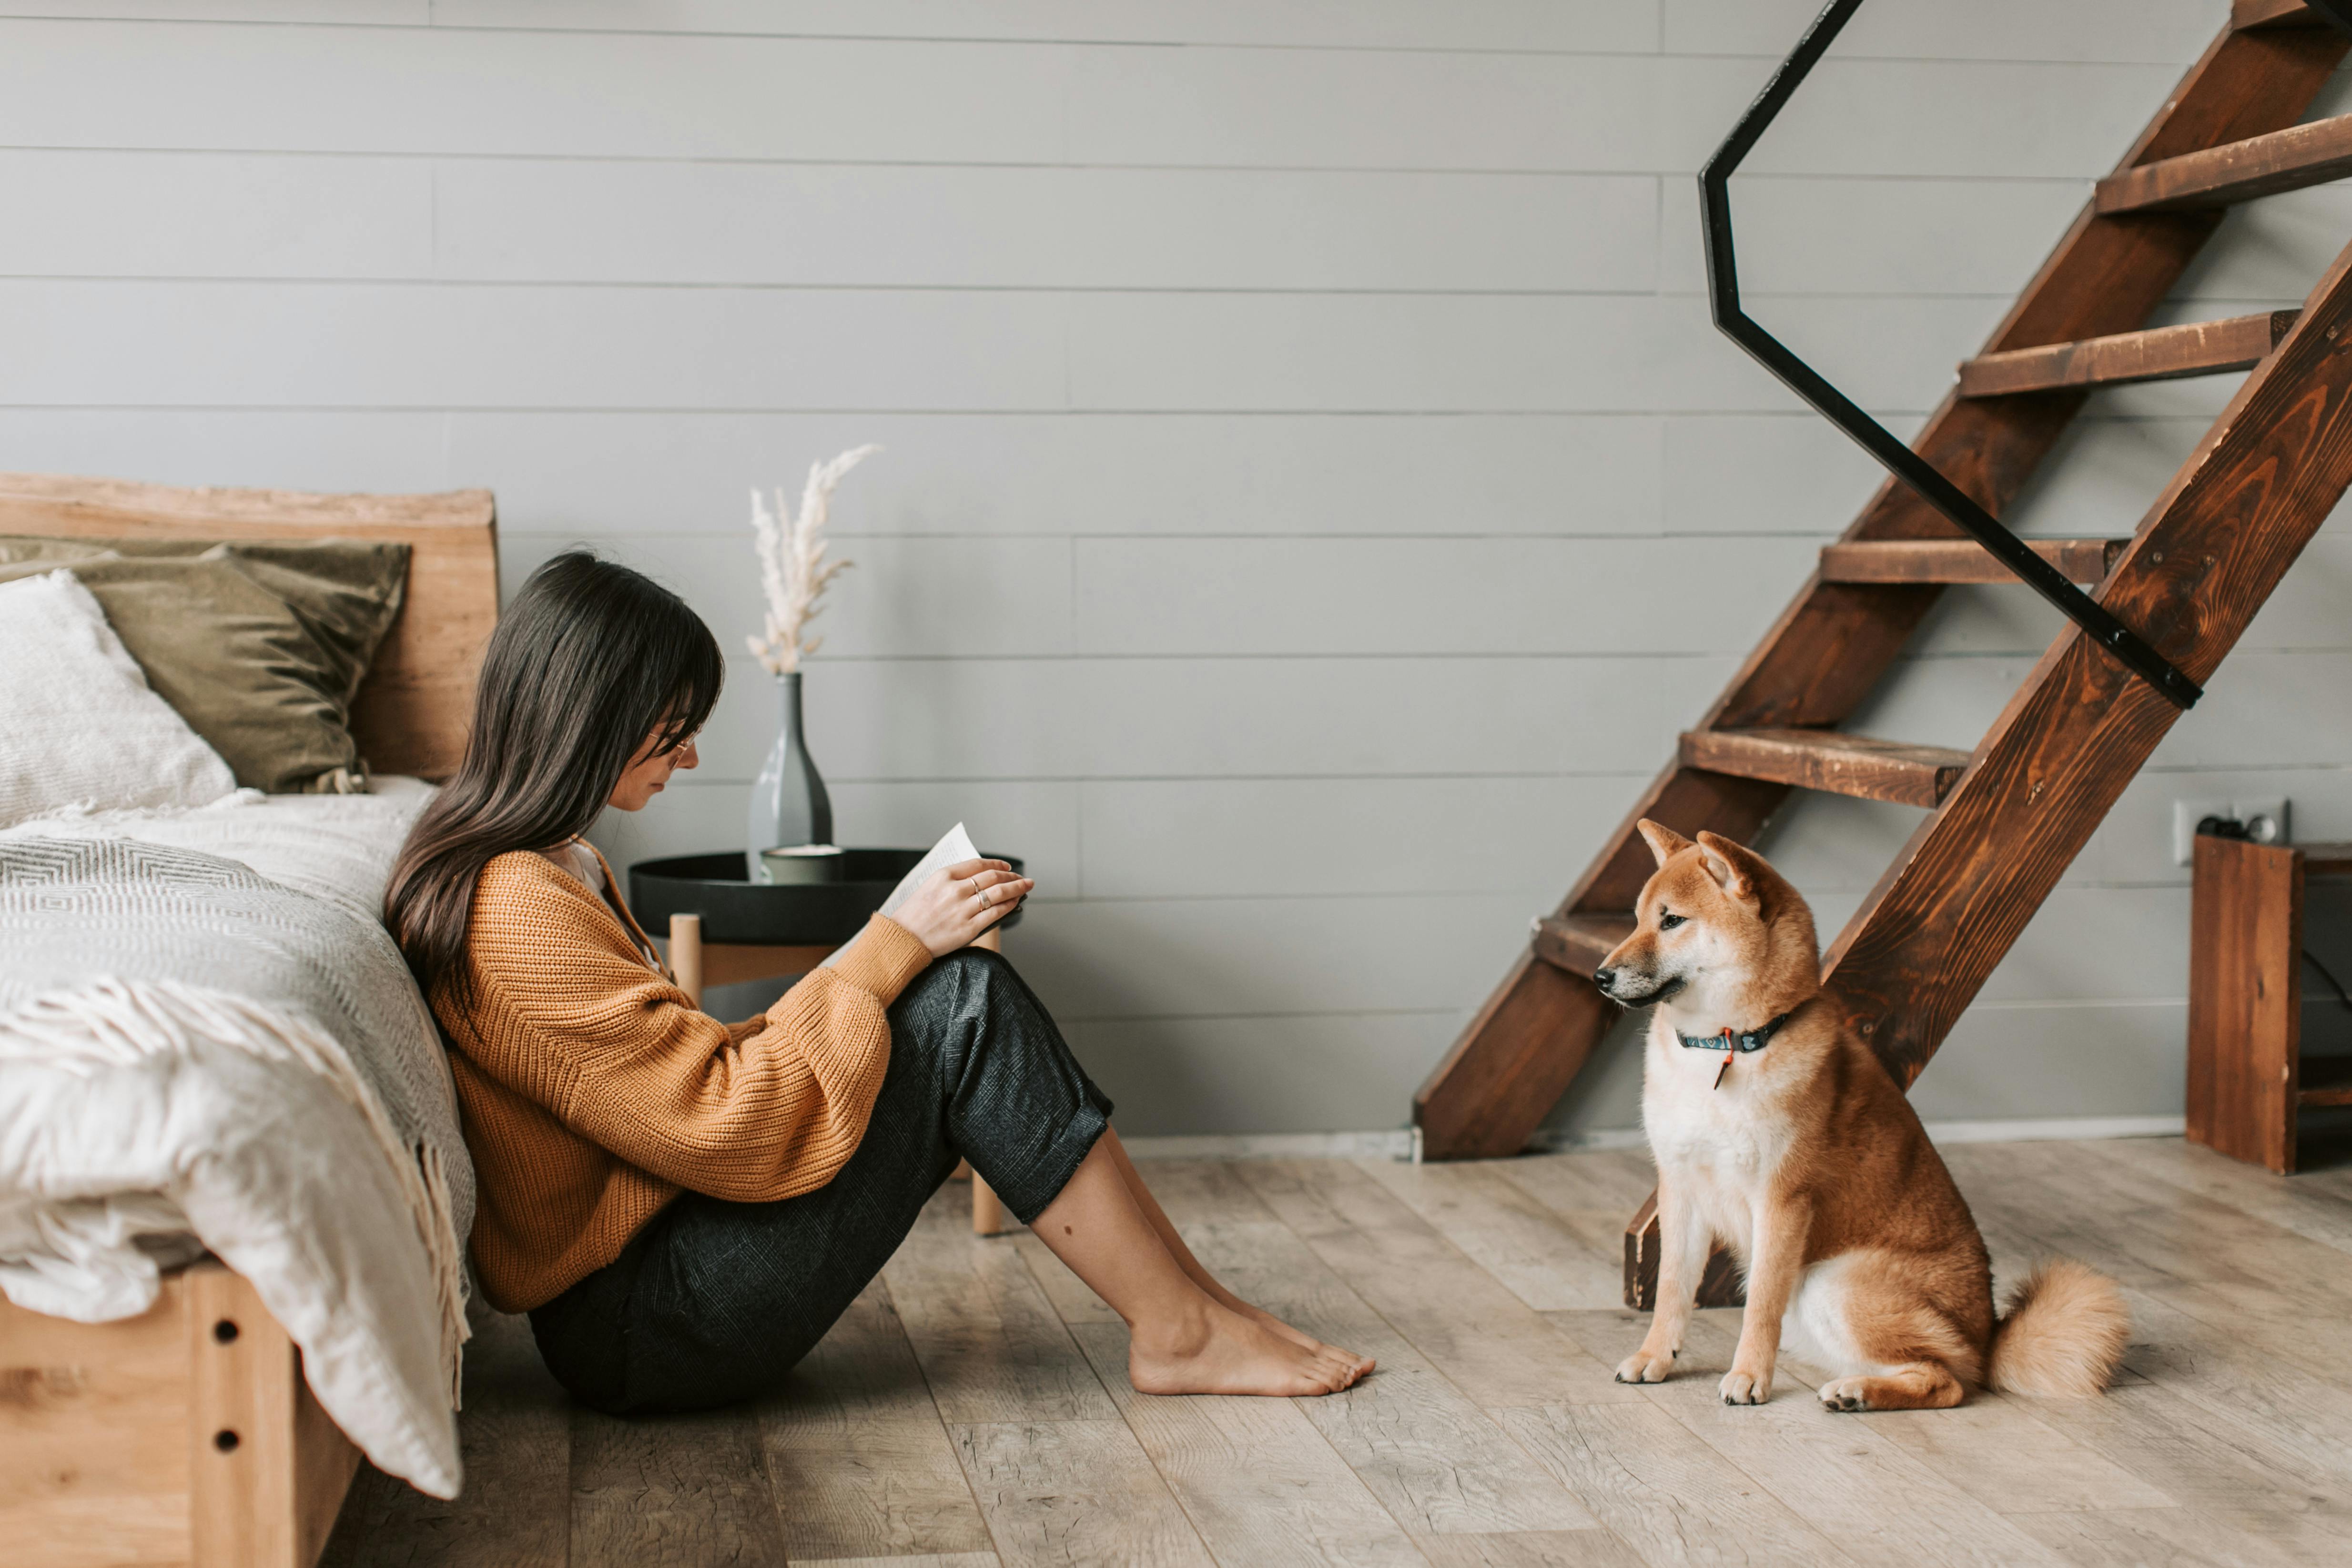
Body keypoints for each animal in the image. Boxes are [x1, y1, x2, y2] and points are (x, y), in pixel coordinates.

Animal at [1590, 822, 2126, 1410]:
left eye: (1672, 921)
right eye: (1639, 918)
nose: (1600, 976)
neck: (1725, 1046)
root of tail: (1988, 1339)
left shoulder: (1781, 1201)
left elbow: (1759, 1308)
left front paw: (1749, 1375)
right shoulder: (1680, 1187)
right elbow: (1671, 1291)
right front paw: (1655, 1357)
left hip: (1836, 1282)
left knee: (1947, 1382)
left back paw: (1859, 1393)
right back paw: (1856, 1386)